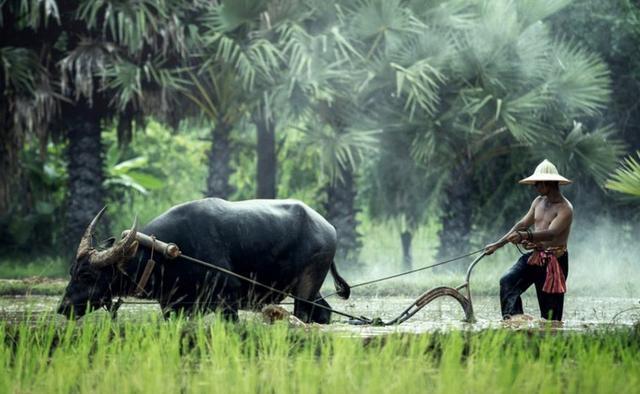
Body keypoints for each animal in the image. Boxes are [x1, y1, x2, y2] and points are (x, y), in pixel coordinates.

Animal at [57, 197, 350, 324]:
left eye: (87, 275)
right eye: (72, 271)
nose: (62, 307)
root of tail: (329, 228)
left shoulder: (228, 302)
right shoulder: (173, 307)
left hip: (306, 287)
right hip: (308, 289)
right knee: (323, 312)